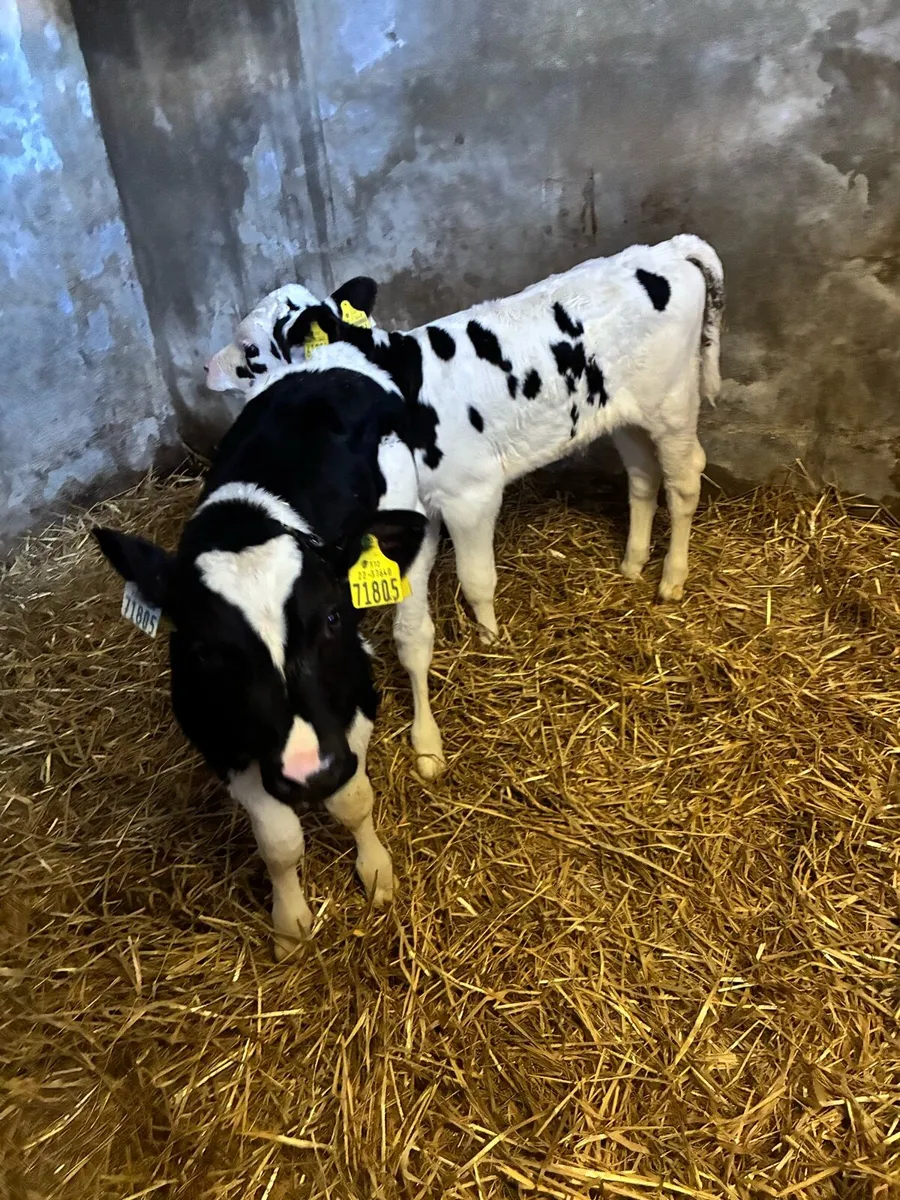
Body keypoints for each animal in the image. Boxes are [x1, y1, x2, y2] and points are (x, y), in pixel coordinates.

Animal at [95, 313, 444, 960]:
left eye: (331, 619)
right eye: (205, 651)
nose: (308, 772)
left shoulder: (353, 698)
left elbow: (353, 798)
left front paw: (376, 870)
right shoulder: (219, 739)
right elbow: (279, 840)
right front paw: (290, 921)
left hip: (412, 535)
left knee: (413, 639)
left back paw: (427, 741)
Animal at [206, 236, 724, 642]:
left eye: (250, 350)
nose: (208, 366)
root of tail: (667, 249)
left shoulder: (471, 494)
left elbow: (476, 580)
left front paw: (490, 636)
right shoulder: (423, 505)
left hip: (674, 404)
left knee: (684, 482)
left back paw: (671, 579)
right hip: (626, 415)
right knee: (642, 478)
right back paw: (633, 564)